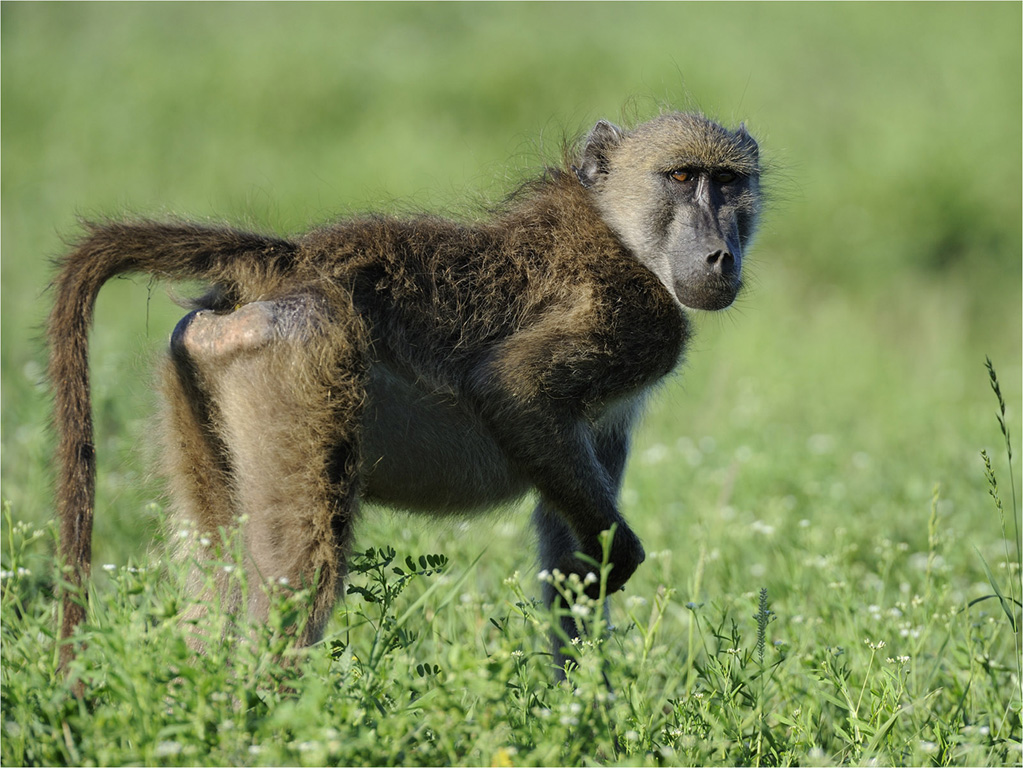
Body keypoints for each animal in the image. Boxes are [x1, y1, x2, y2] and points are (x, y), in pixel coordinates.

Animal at [48, 112, 761, 679]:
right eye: (680, 178)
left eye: (729, 183)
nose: (720, 257)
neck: (621, 233)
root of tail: (282, 263)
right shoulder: (635, 320)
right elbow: (513, 387)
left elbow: (569, 557)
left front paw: (586, 717)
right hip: (299, 358)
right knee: (298, 573)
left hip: (197, 370)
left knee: (213, 568)